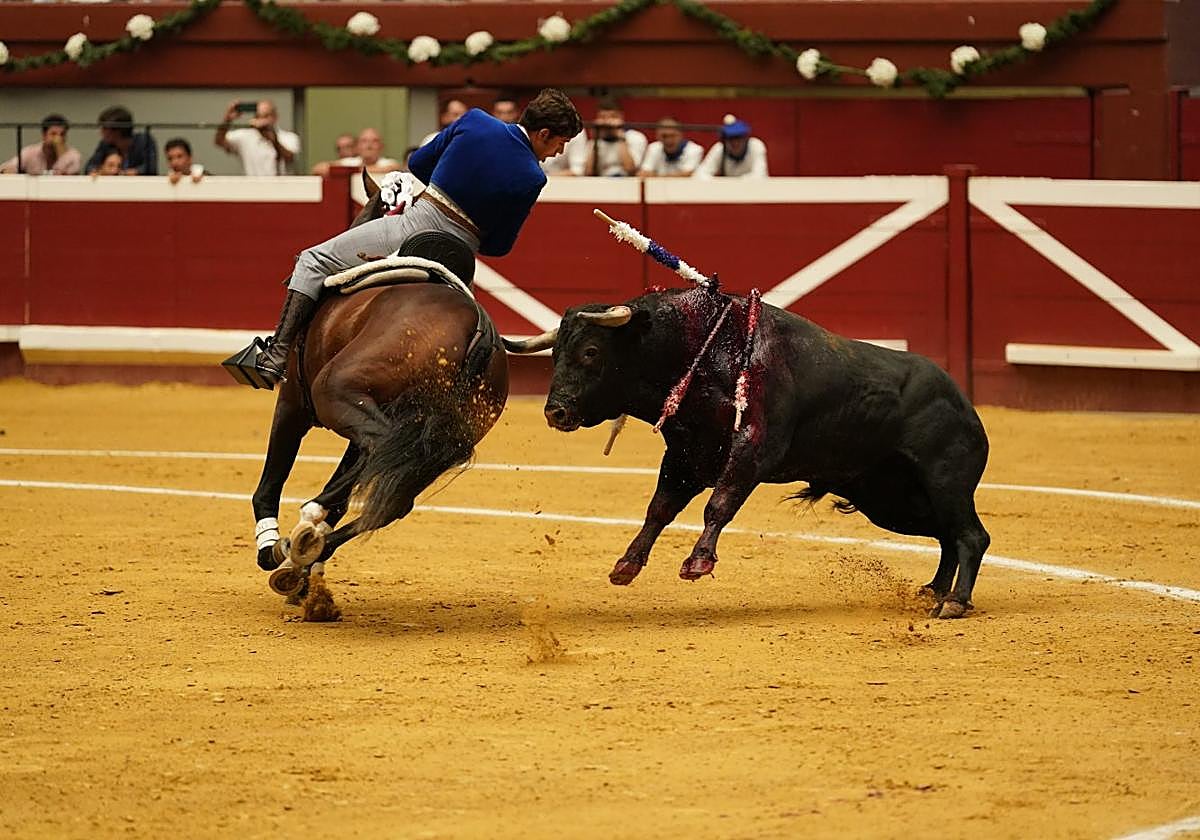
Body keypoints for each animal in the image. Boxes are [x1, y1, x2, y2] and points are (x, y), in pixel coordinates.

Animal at [245, 173, 509, 612]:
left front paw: (271, 547)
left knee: (380, 453)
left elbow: (270, 479)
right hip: (440, 442)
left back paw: (301, 533)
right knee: (395, 492)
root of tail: (478, 329)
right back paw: (306, 546)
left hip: (334, 393)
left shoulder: (293, 404)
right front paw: (303, 570)